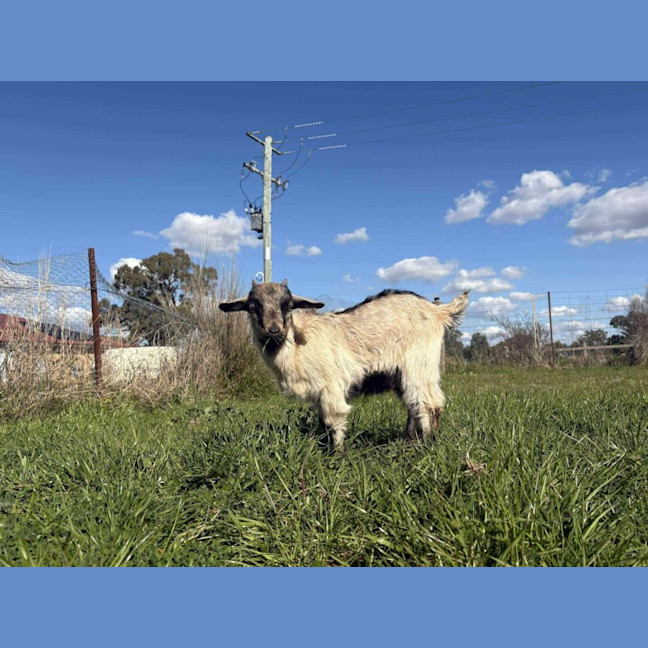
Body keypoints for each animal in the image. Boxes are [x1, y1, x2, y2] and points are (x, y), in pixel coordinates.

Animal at [219, 280, 469, 451]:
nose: (274, 330)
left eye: (288, 306)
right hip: (403, 375)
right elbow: (322, 422)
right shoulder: (318, 393)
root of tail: (439, 311)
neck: (296, 345)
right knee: (414, 405)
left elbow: (334, 419)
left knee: (428, 404)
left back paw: (426, 444)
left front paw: (337, 454)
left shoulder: (331, 386)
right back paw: (410, 441)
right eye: (253, 307)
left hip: (419, 365)